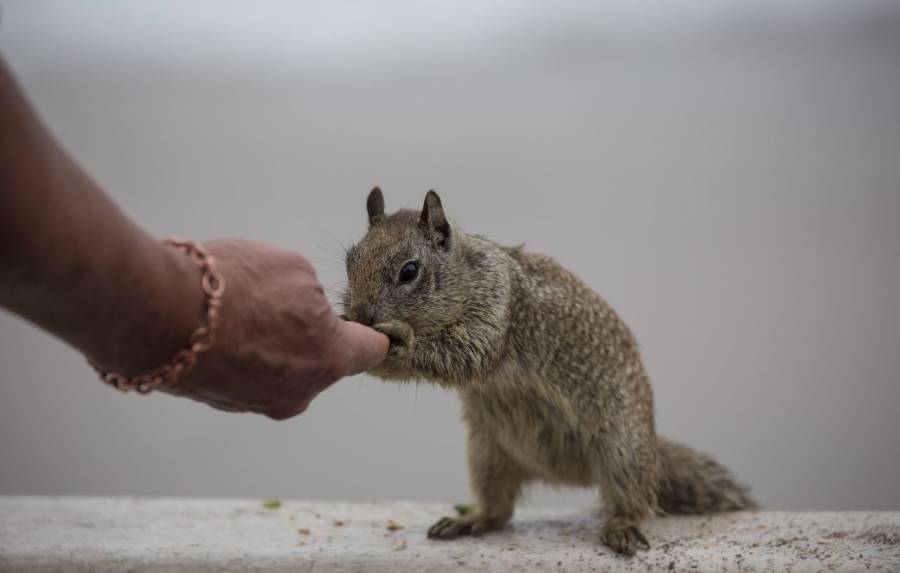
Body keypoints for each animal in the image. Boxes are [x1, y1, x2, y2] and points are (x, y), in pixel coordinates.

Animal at [342, 187, 756, 556]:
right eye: (349, 261)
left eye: (409, 271)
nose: (360, 315)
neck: (469, 274)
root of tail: (564, 473)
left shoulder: (497, 310)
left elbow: (466, 355)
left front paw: (401, 338)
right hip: (486, 452)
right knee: (499, 510)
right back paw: (469, 519)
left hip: (624, 452)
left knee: (635, 500)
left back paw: (622, 528)